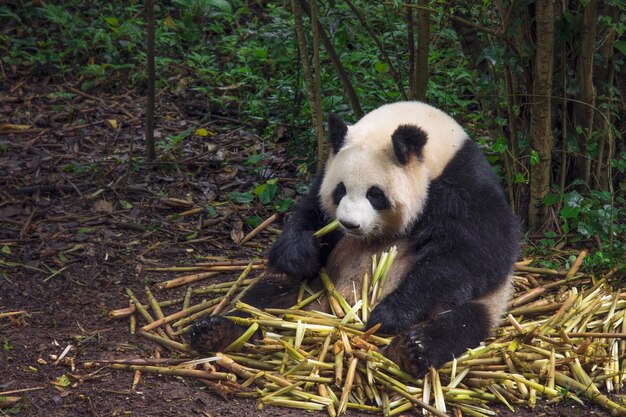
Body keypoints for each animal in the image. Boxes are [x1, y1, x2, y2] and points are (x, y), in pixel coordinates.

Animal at [189, 101, 516, 376]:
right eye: (340, 190)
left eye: (375, 194)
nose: (349, 224)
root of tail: (328, 311)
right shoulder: (323, 178)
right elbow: (310, 213)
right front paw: (300, 253)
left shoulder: (465, 186)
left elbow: (474, 256)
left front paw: (388, 314)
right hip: (313, 287)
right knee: (263, 299)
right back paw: (216, 330)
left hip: (480, 306)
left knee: (459, 324)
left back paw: (412, 350)